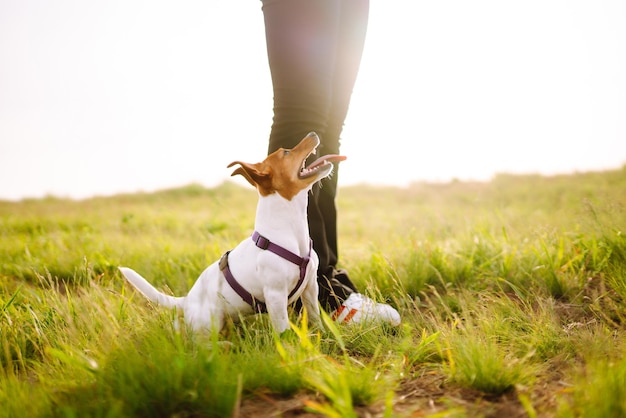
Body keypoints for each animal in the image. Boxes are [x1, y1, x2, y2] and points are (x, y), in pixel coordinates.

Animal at [119, 132, 344, 334]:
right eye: (286, 152)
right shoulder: (275, 296)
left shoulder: (310, 288)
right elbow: (283, 331)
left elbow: (315, 317)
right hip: (210, 322)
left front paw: (324, 337)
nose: (313, 133)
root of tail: (186, 301)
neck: (291, 231)